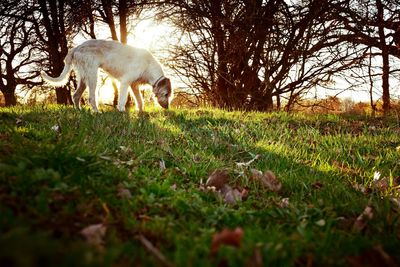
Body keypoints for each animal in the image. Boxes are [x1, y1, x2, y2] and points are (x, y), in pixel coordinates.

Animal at [41, 39, 172, 112]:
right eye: (165, 94)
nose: (167, 108)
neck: (148, 65)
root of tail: (76, 48)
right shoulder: (125, 82)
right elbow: (123, 99)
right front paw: (122, 111)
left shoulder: (134, 85)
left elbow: (139, 100)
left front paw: (141, 112)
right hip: (93, 75)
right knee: (91, 97)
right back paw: (97, 113)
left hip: (84, 77)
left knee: (76, 95)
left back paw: (79, 111)